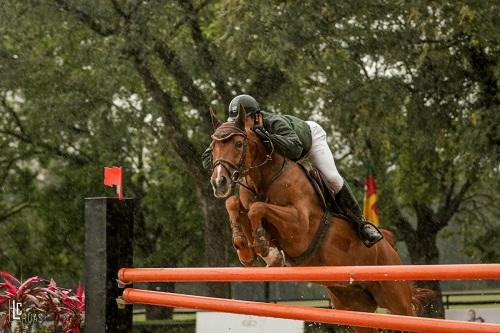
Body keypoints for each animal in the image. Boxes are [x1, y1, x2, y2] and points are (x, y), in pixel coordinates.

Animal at [207, 105, 426, 330]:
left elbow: (257, 208)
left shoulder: (299, 228)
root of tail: (390, 247)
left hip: (396, 299)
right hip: (355, 306)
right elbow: (234, 204)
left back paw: (369, 232)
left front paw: (267, 249)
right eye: (212, 146)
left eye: (238, 144)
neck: (264, 179)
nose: (219, 182)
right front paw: (245, 249)